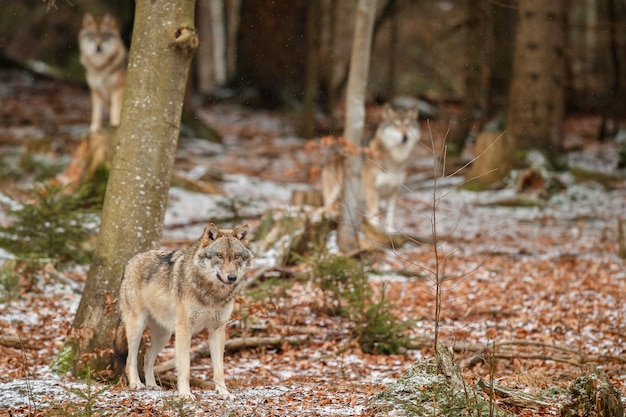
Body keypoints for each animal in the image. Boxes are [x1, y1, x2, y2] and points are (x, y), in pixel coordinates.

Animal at [116, 223, 252, 398]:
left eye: (237, 257)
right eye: (219, 255)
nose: (232, 277)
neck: (212, 294)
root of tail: (131, 261)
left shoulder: (218, 329)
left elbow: (219, 368)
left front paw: (223, 392)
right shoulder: (184, 329)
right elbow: (185, 367)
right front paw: (185, 394)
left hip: (164, 335)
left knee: (147, 357)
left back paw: (152, 385)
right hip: (137, 327)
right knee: (130, 359)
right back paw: (136, 384)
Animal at [322, 101, 420, 231]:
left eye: (408, 125)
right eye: (395, 125)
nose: (405, 137)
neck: (395, 159)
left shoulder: (394, 190)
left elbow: (390, 215)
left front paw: (390, 231)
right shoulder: (372, 189)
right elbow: (374, 215)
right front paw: (375, 229)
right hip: (336, 189)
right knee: (326, 207)